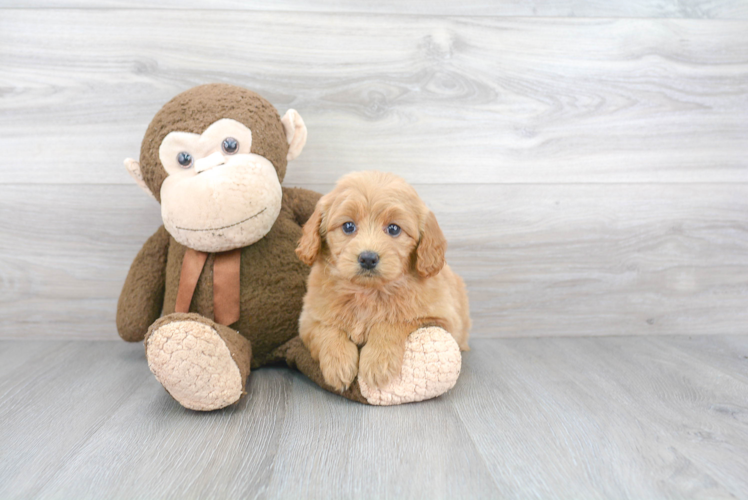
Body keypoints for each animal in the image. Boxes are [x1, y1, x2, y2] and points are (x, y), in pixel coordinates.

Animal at [296, 171, 468, 390]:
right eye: (348, 226)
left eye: (394, 229)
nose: (368, 258)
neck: (367, 292)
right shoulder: (309, 320)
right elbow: (327, 331)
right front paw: (338, 364)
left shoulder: (440, 319)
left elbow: (391, 323)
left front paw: (377, 363)